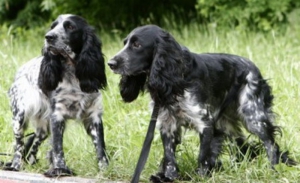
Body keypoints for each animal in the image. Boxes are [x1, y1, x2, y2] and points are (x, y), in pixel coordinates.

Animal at [5, 13, 108, 176]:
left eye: (70, 26)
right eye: (52, 26)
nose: (48, 37)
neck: (74, 74)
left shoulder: (94, 116)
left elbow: (100, 148)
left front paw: (105, 171)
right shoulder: (57, 116)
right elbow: (58, 148)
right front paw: (60, 169)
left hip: (44, 127)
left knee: (34, 143)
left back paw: (32, 163)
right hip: (19, 116)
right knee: (19, 145)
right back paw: (15, 165)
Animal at [108, 25, 298, 182]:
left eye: (137, 45)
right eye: (125, 43)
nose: (110, 63)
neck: (177, 76)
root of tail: (254, 67)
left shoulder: (204, 123)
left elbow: (203, 156)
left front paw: (201, 176)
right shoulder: (167, 123)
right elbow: (169, 156)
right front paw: (169, 177)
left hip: (253, 116)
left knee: (270, 144)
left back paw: (273, 168)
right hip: (226, 123)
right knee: (244, 145)